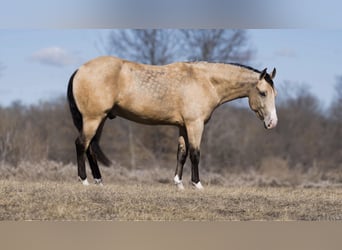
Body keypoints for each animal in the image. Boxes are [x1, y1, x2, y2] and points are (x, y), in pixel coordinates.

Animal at [67, 56, 278, 189]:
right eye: (262, 93)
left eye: (274, 94)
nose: (272, 122)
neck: (205, 81)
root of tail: (80, 69)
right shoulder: (195, 124)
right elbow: (195, 154)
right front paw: (197, 184)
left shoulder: (183, 126)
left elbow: (181, 154)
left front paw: (178, 183)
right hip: (93, 118)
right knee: (81, 144)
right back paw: (84, 180)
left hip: (99, 119)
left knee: (90, 147)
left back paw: (99, 180)